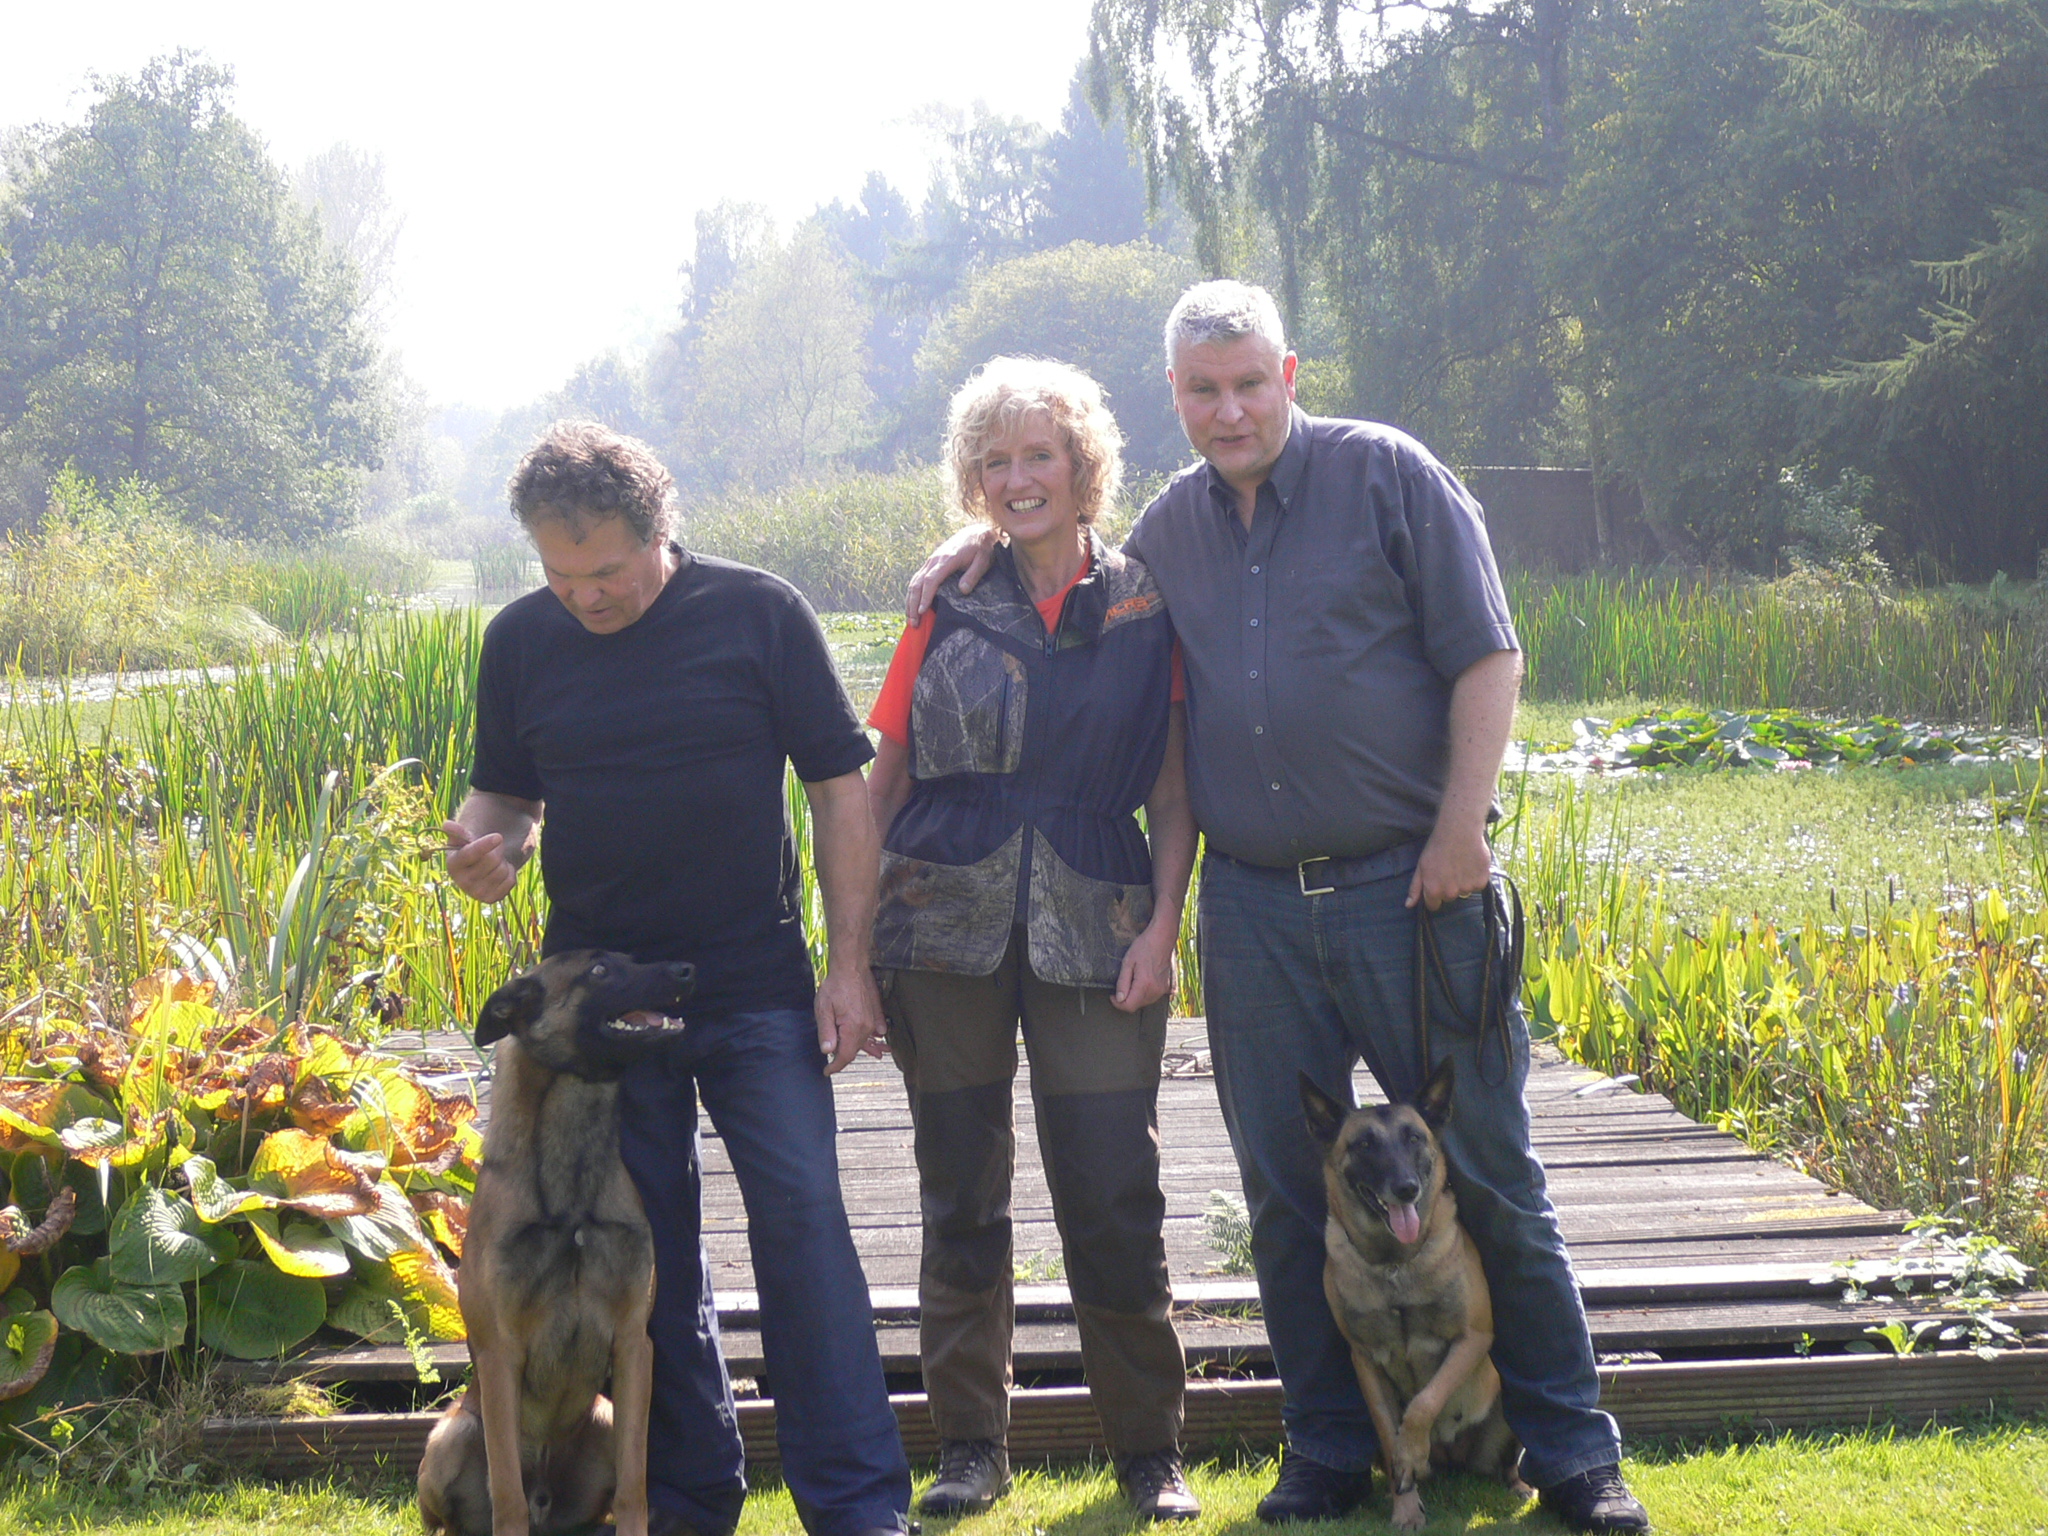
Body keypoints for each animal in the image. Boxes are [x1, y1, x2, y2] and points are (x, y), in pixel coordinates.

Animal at [419, 950, 700, 1536]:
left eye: (631, 958)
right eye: (599, 972)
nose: (687, 971)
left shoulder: (633, 1345)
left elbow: (636, 1487)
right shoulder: (500, 1355)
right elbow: (507, 1495)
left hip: (605, 1415)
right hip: (450, 1437)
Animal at [1302, 1064, 1531, 1531]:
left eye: (1414, 1138)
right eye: (1364, 1144)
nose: (1406, 1188)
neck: (1395, 1263)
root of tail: (1452, 1459)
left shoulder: (1472, 1338)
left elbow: (1424, 1403)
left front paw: (1413, 1452)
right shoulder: (1365, 1359)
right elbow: (1392, 1437)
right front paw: (1405, 1504)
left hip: (1512, 1408)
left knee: (1506, 1463)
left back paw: (1518, 1485)